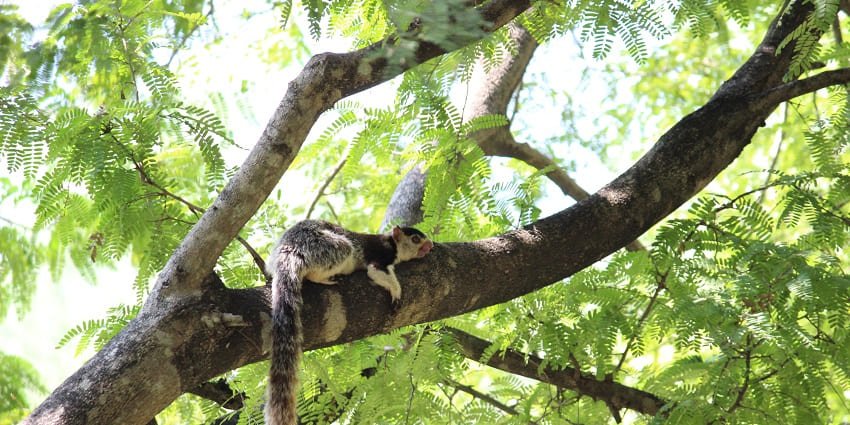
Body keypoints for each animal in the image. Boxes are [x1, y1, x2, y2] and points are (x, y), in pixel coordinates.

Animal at [265, 219, 433, 425]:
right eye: (415, 239)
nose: (430, 246)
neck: (393, 244)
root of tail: (287, 252)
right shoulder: (381, 255)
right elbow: (375, 271)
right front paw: (396, 292)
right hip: (327, 249)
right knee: (333, 257)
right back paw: (326, 279)